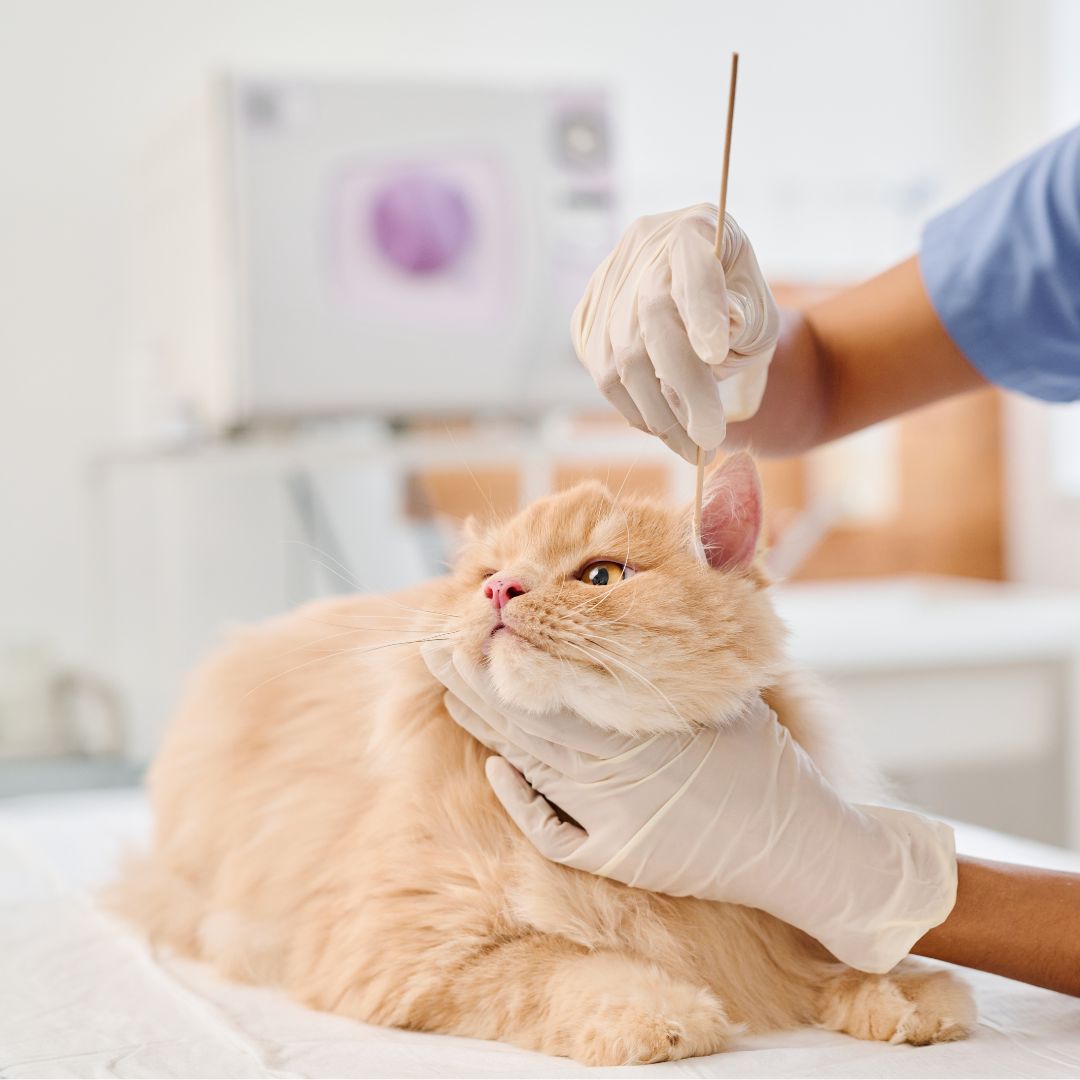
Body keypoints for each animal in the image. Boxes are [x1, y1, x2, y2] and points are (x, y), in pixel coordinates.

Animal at [111, 449, 980, 1062]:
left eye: (599, 575)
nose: (501, 593)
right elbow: (557, 965)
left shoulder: (776, 922)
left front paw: (904, 993)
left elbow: (841, 956)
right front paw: (662, 1012)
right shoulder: (400, 947)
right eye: (489, 576)